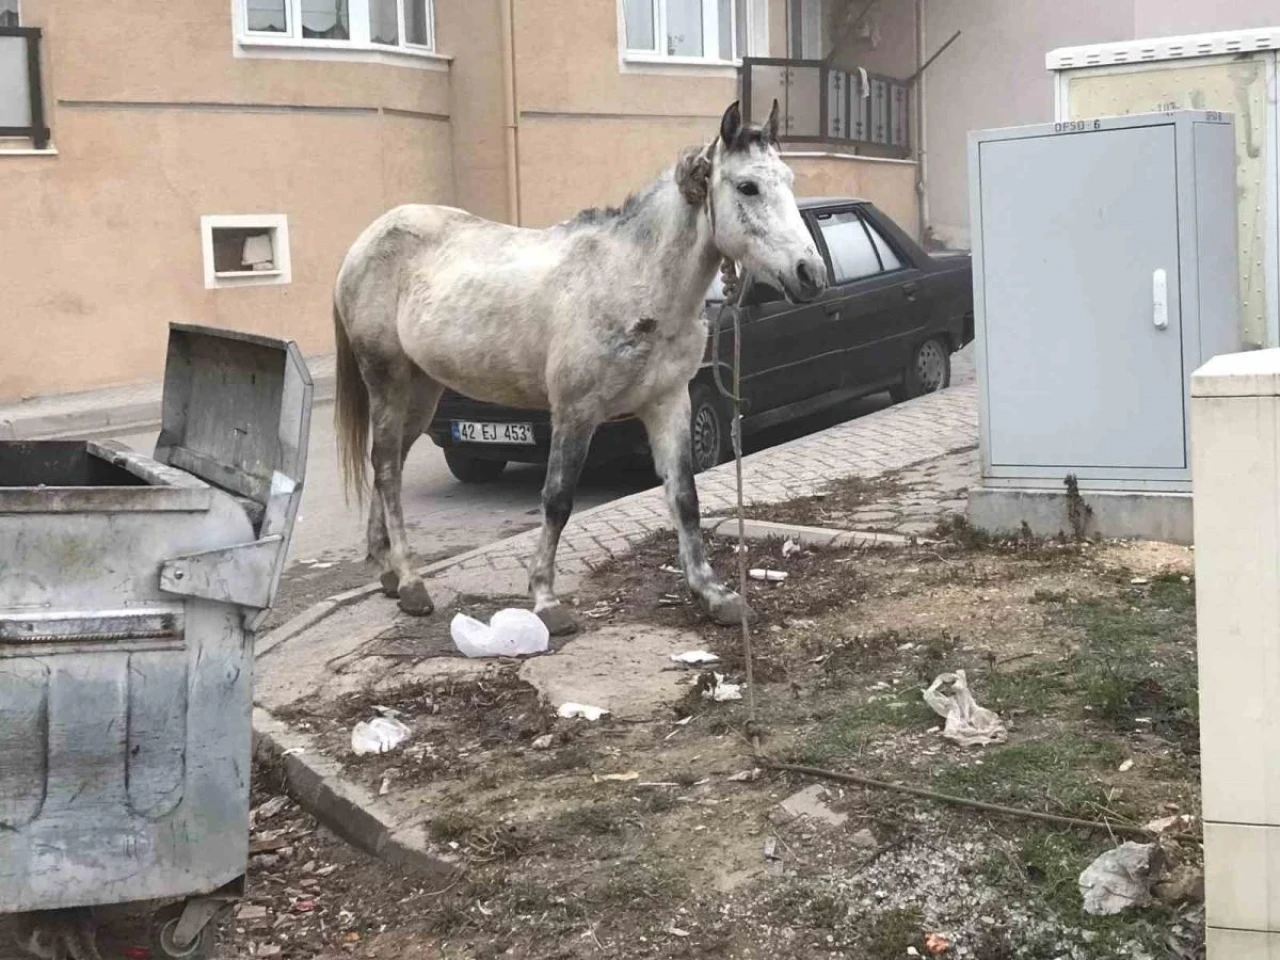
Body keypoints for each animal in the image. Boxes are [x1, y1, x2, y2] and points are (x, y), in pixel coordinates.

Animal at [335, 101, 824, 634]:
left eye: (790, 179)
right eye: (748, 187)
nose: (811, 274)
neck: (634, 281)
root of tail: (366, 242)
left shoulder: (670, 402)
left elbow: (684, 497)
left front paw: (714, 595)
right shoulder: (575, 411)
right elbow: (558, 499)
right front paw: (546, 600)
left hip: (422, 390)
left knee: (391, 462)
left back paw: (386, 571)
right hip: (387, 379)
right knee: (386, 468)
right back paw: (410, 582)